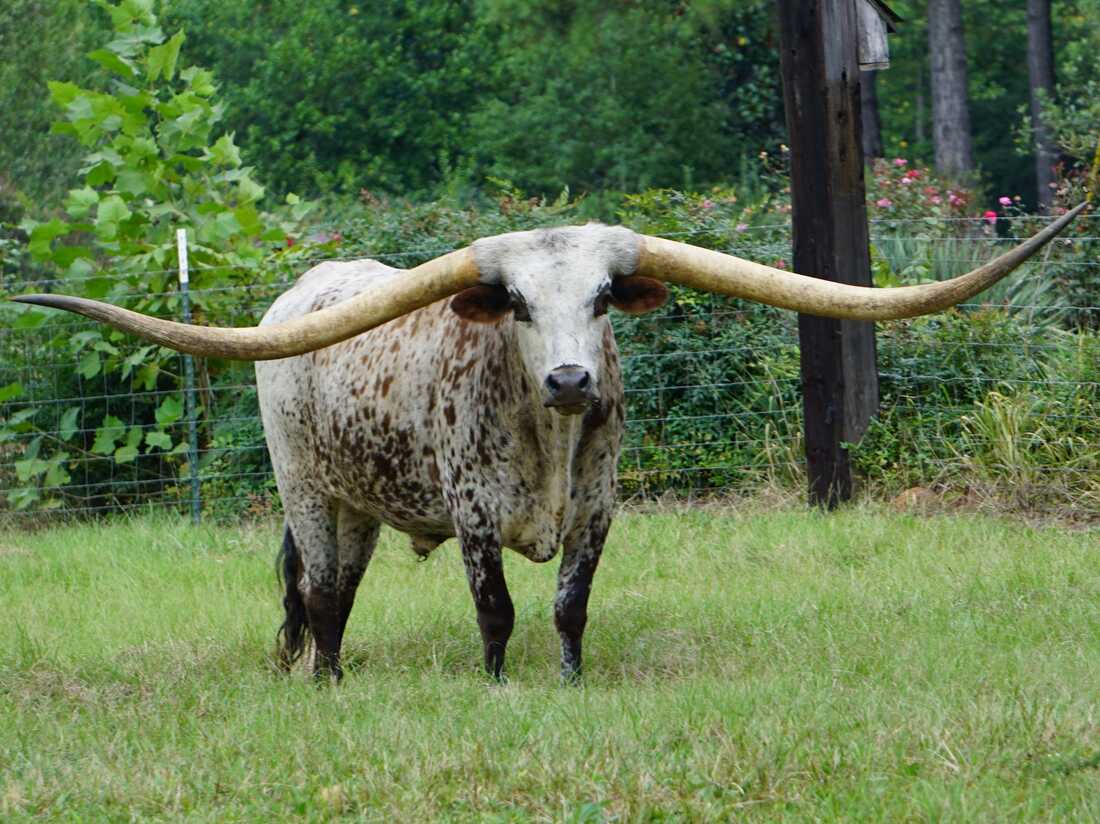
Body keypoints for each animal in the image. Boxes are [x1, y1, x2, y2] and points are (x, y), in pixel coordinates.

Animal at [12, 205, 1086, 682]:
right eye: (518, 303)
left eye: (605, 297)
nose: (572, 379)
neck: (551, 438)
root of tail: (300, 296)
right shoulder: (475, 514)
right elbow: (495, 611)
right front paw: (497, 686)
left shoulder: (601, 510)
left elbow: (569, 606)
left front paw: (569, 683)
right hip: (306, 487)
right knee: (315, 594)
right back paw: (326, 681)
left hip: (361, 502)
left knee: (337, 593)